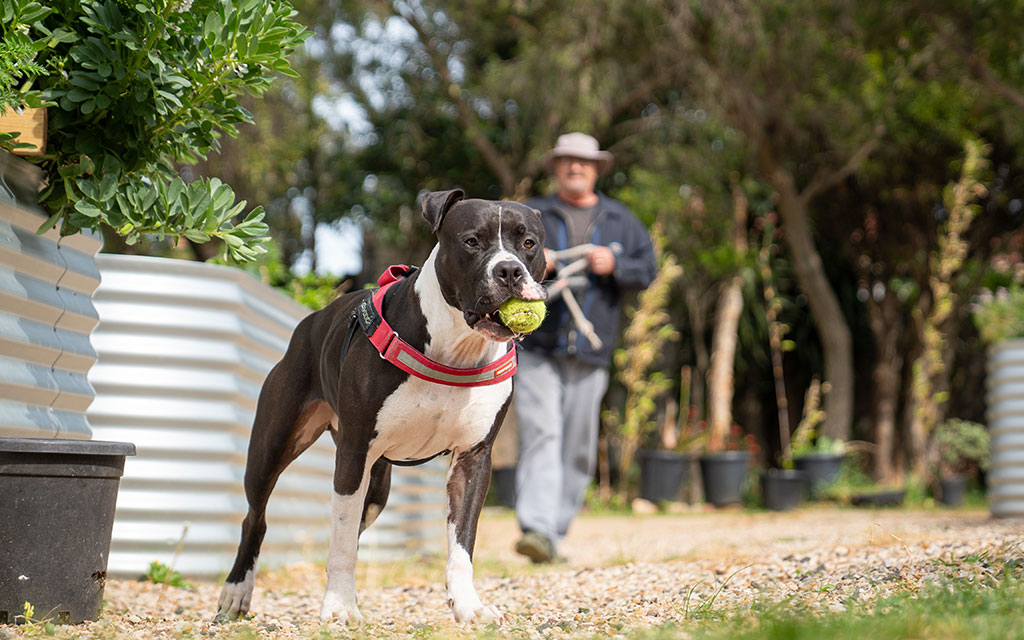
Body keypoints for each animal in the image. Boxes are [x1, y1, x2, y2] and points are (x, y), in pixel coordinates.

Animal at [215, 189, 548, 622]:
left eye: (529, 243)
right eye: (472, 241)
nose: (509, 271)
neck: (455, 350)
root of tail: (309, 322)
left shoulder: (473, 459)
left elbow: (461, 544)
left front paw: (468, 607)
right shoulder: (354, 453)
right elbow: (341, 541)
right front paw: (340, 608)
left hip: (376, 487)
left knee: (351, 525)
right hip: (272, 448)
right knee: (255, 518)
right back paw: (236, 592)